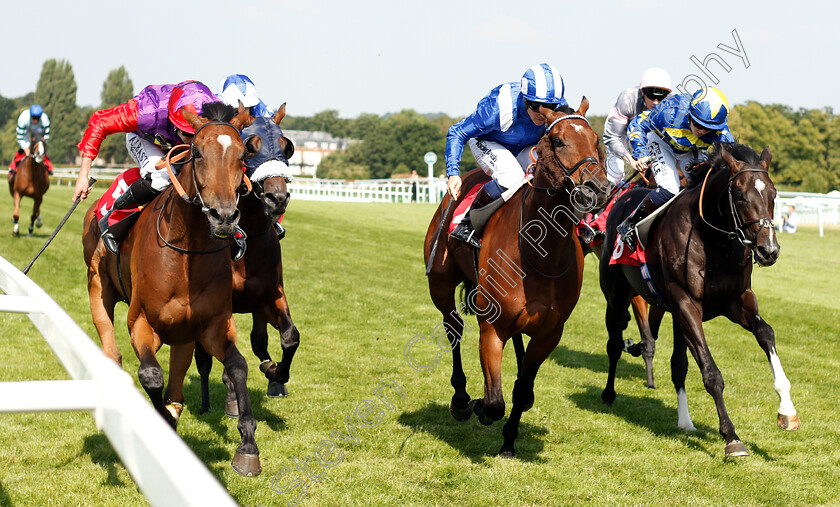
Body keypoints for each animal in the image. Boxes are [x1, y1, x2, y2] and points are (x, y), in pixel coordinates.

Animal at [82, 102, 264, 476]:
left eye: (242, 156)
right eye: (196, 152)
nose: (224, 217)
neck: (186, 254)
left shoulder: (211, 326)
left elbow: (238, 366)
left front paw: (247, 446)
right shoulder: (140, 321)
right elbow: (151, 374)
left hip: (183, 333)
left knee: (178, 382)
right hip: (98, 288)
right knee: (112, 350)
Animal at [194, 106, 302, 412]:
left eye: (287, 147)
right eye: (250, 148)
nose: (277, 197)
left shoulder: (270, 296)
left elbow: (289, 337)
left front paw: (276, 373)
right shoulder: (220, 307)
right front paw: (232, 397)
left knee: (259, 339)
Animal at [426, 100, 612, 460]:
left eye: (596, 140)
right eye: (558, 141)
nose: (598, 189)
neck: (539, 253)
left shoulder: (550, 332)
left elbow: (522, 391)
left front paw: (509, 442)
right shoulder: (491, 326)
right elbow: (494, 401)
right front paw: (479, 406)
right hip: (439, 284)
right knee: (453, 327)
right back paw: (460, 399)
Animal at [596, 142, 800, 456]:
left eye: (774, 194)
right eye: (739, 195)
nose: (769, 250)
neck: (714, 243)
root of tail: (621, 197)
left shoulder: (736, 300)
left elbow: (766, 333)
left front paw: (787, 410)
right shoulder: (687, 305)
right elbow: (711, 373)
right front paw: (732, 438)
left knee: (676, 363)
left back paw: (684, 420)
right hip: (617, 296)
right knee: (615, 343)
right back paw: (609, 392)